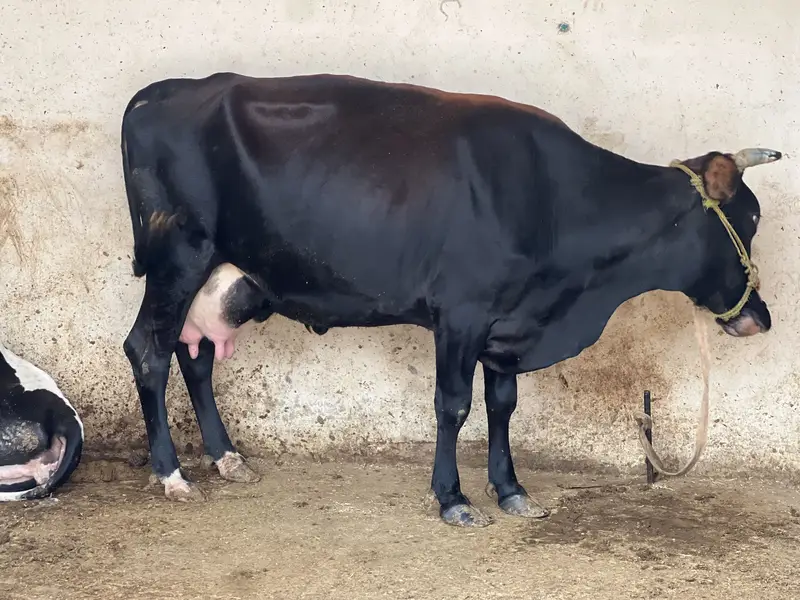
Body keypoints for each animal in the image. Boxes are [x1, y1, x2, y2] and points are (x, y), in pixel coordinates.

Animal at [119, 72, 781, 527]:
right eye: (748, 219)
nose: (762, 318)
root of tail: (164, 91)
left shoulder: (509, 324)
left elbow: (502, 405)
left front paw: (512, 490)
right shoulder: (463, 313)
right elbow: (454, 406)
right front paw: (453, 498)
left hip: (225, 278)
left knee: (196, 355)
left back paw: (227, 458)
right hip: (177, 258)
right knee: (148, 351)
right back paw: (172, 474)